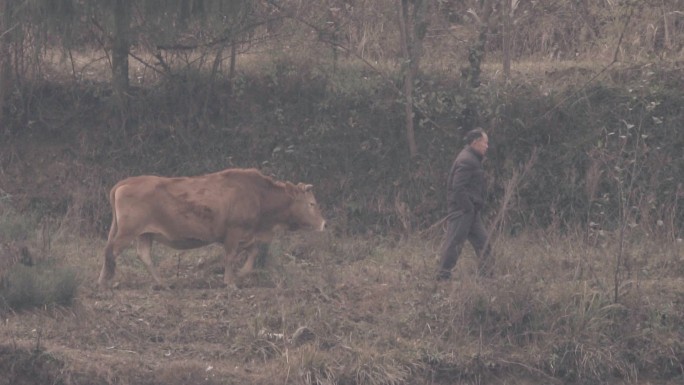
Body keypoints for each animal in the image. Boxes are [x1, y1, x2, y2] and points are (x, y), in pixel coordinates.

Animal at [97, 166, 328, 286]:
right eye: (312, 203)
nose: (324, 224)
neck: (259, 195)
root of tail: (124, 183)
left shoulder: (247, 235)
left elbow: (252, 252)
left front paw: (241, 274)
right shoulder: (234, 232)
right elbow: (230, 256)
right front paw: (230, 281)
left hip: (145, 233)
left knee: (143, 255)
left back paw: (161, 283)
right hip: (128, 232)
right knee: (111, 251)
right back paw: (104, 280)